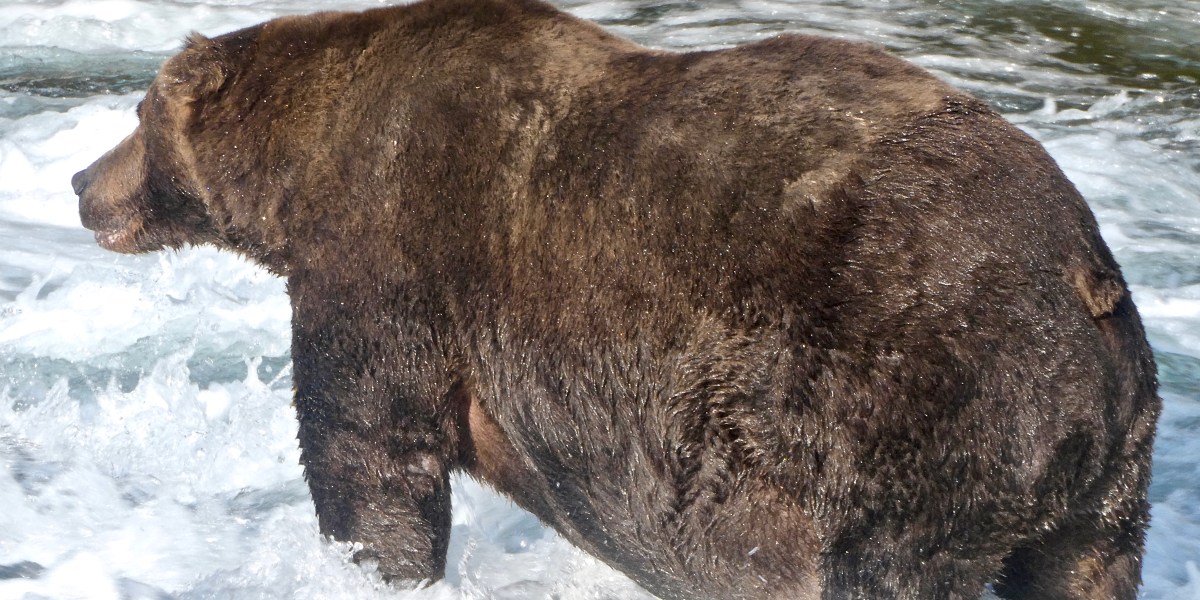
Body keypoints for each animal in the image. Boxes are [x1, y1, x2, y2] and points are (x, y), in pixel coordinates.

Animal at [71, 0, 1160, 598]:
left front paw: (371, 565)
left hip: (907, 408)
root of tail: (1086, 274)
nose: (82, 183)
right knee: (1080, 573)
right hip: (1100, 477)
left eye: (138, 115)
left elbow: (368, 449)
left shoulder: (391, 251)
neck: (299, 173)